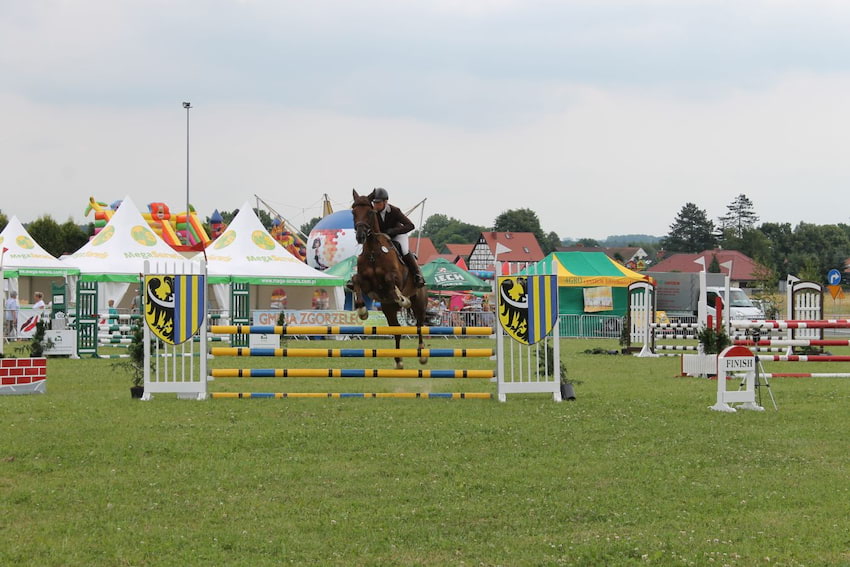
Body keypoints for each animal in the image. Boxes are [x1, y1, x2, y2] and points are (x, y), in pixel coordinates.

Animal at [346, 189, 424, 370]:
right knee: (397, 329)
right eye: (353, 212)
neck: (373, 252)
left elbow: (390, 281)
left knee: (420, 325)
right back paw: (398, 360)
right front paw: (362, 310)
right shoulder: (367, 284)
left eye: (370, 212)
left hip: (419, 302)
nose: (360, 236)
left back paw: (422, 354)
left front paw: (402, 299)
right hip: (388, 309)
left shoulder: (395, 279)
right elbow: (356, 280)